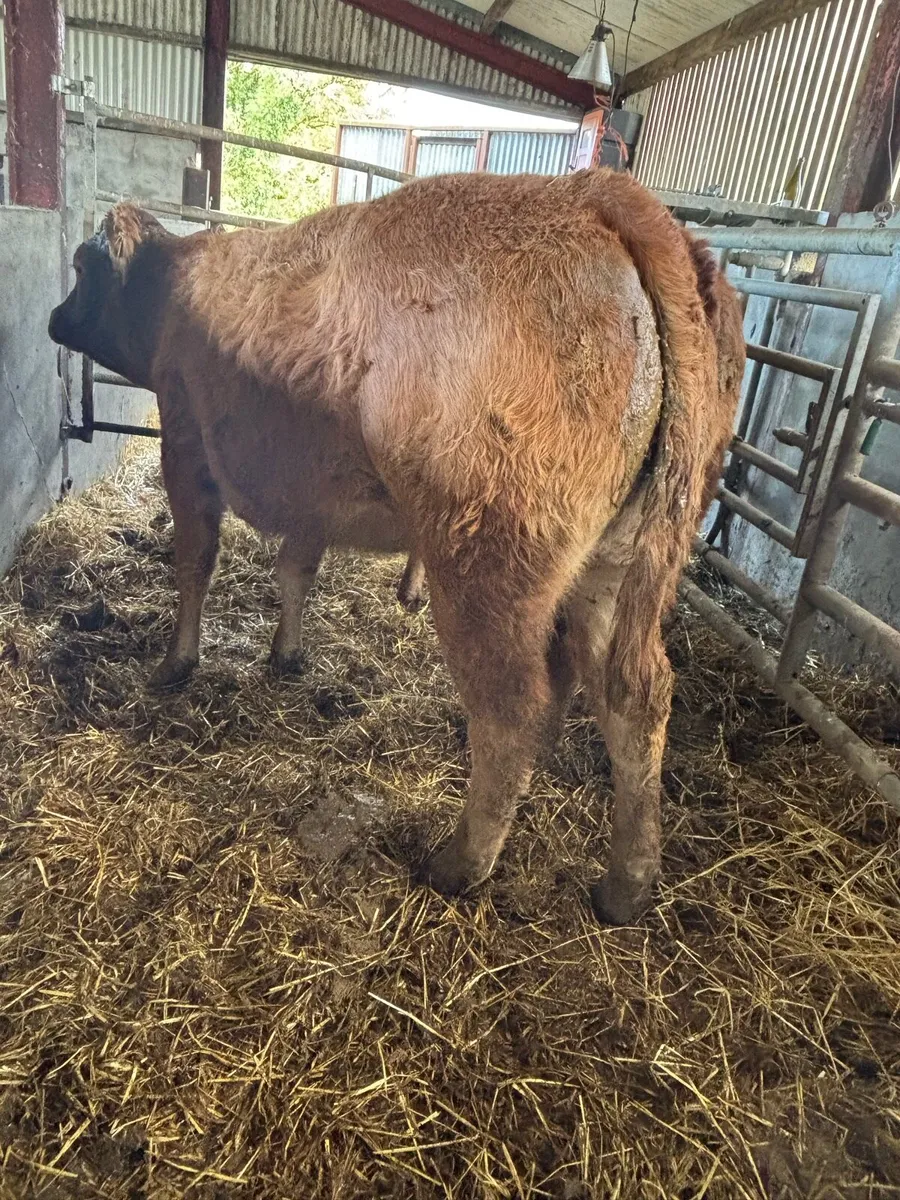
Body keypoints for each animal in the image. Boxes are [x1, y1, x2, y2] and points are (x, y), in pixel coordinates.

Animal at [48, 168, 744, 924]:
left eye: (81, 266)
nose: (54, 317)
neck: (177, 287)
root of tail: (603, 196)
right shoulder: (311, 488)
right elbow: (296, 568)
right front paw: (285, 654)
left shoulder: (184, 443)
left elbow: (195, 561)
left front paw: (176, 663)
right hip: (615, 568)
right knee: (632, 696)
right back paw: (627, 883)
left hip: (485, 564)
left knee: (514, 705)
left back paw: (462, 861)